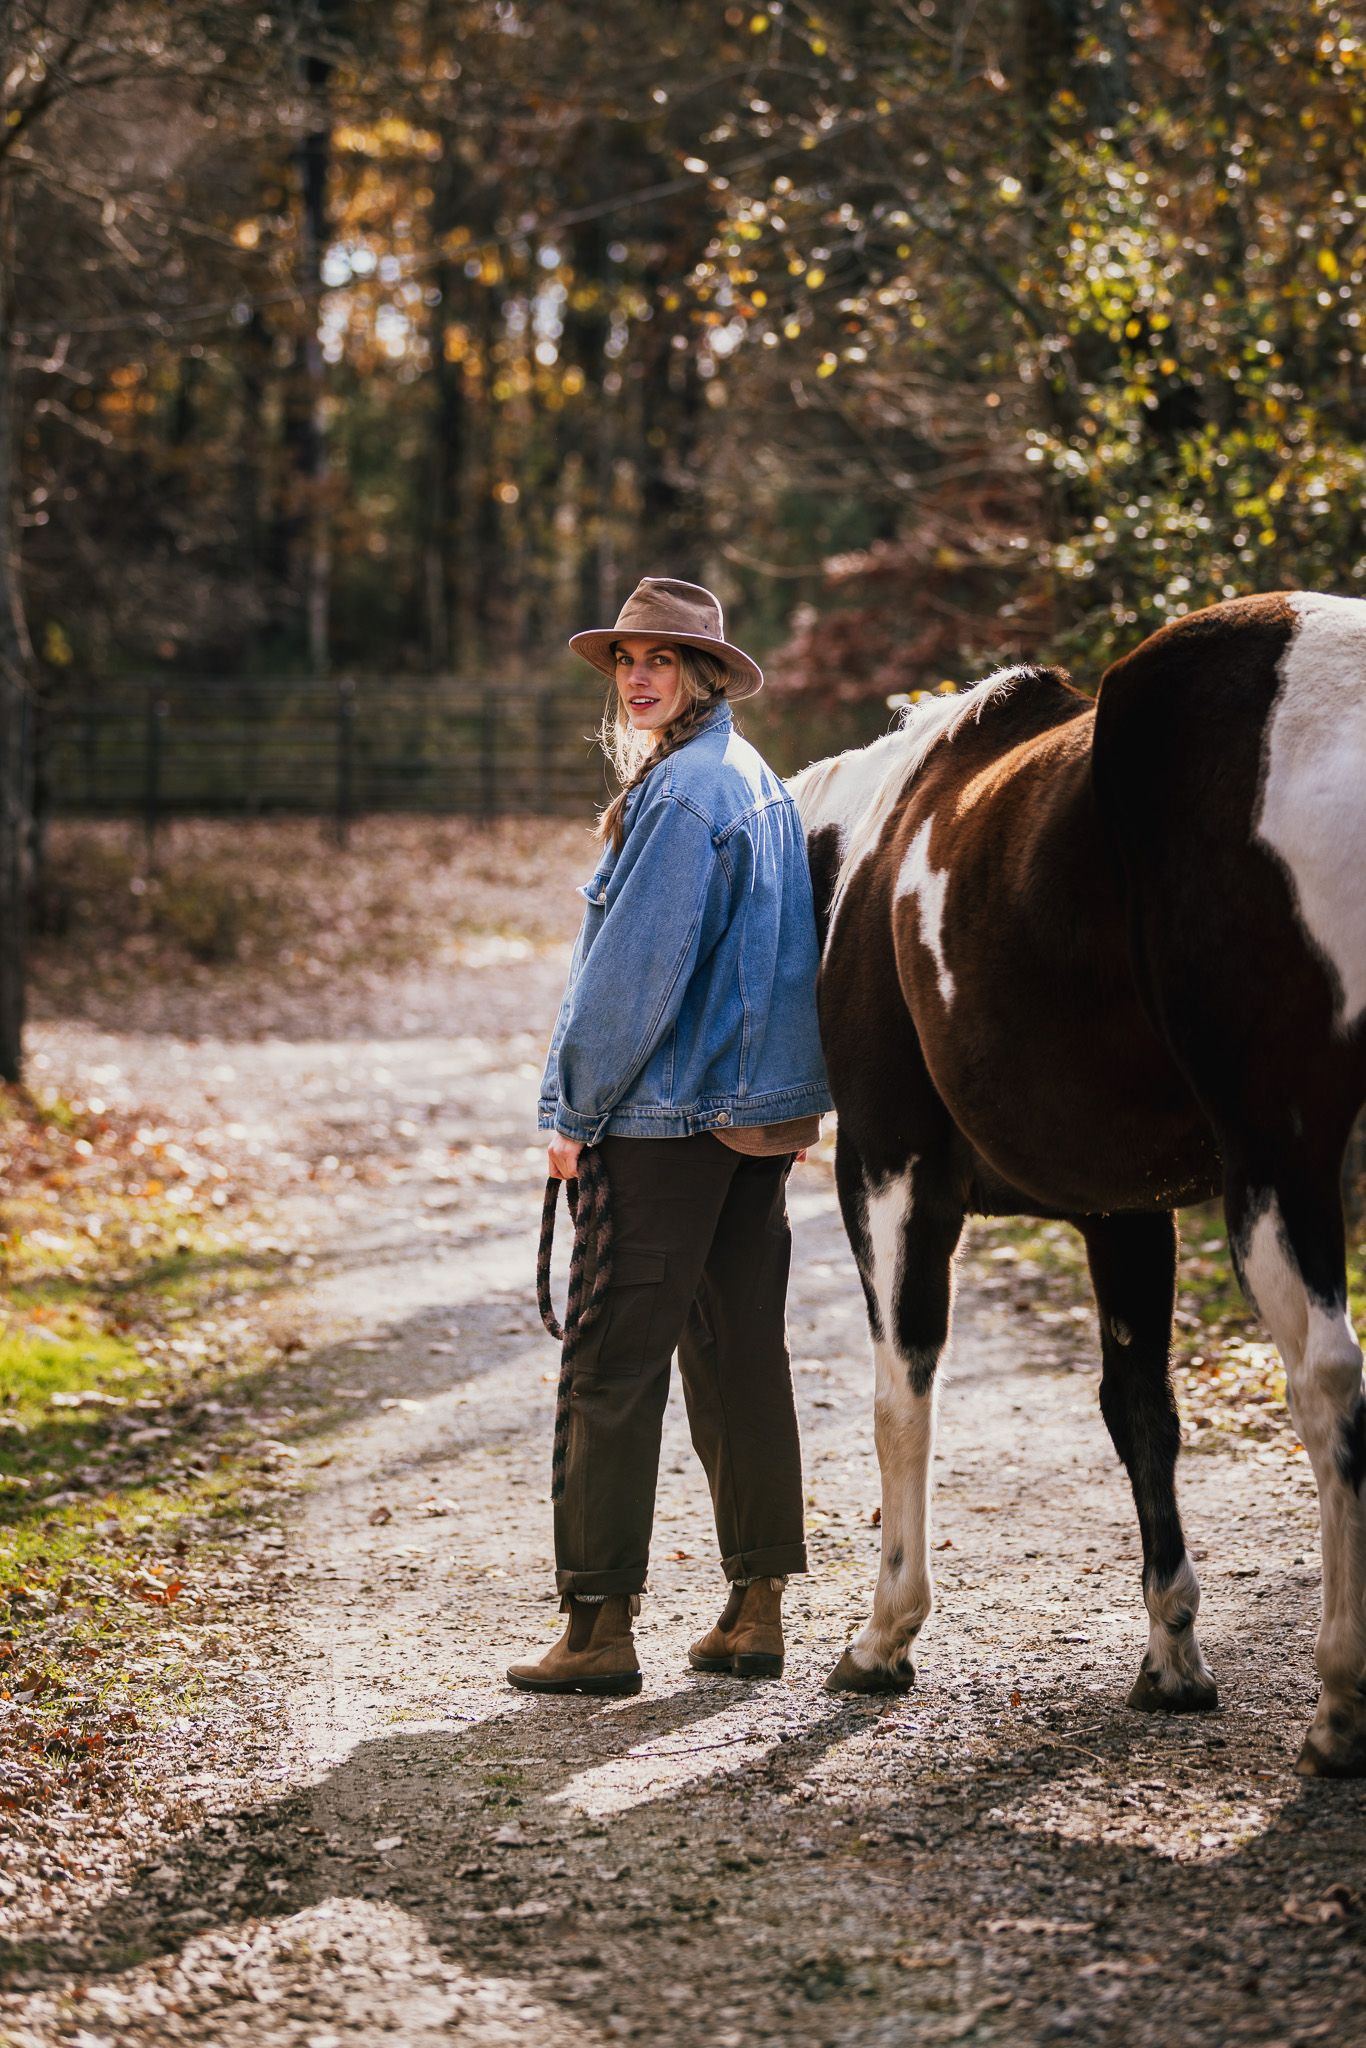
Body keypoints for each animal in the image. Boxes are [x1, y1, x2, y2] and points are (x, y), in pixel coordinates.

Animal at [788, 591, 1366, 1776]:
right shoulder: (1125, 1211)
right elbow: (1140, 1412)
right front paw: (1173, 1657)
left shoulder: (890, 1173)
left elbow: (901, 1391)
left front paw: (884, 1634)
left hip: (1277, 1160)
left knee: (1329, 1383)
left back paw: (1338, 1706)